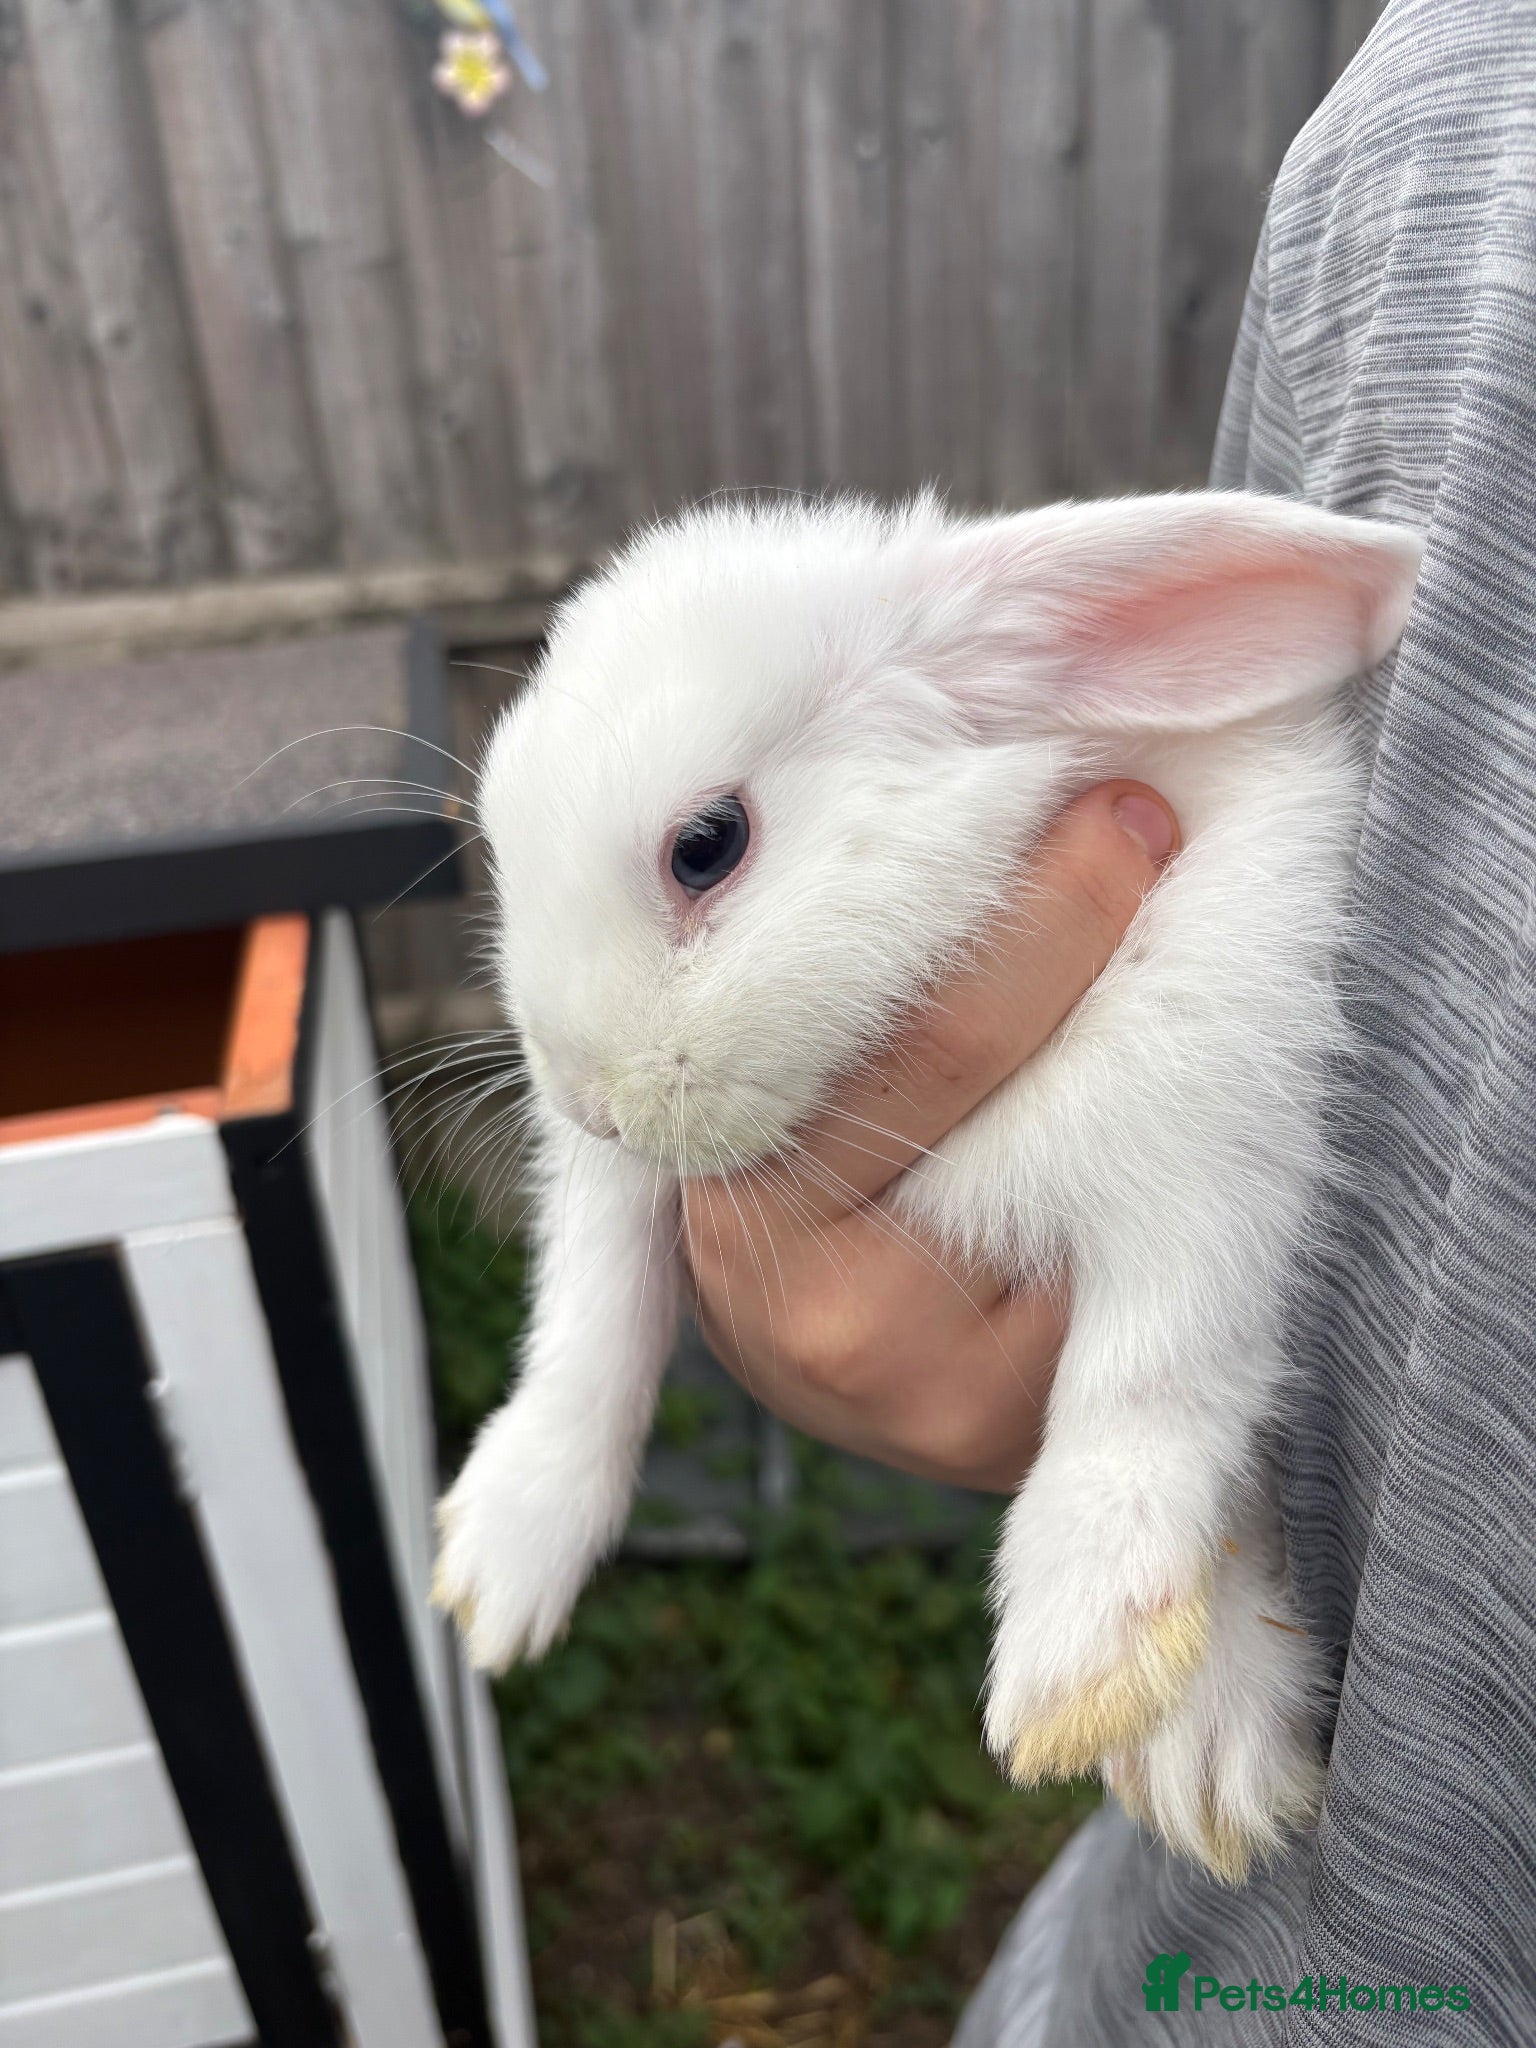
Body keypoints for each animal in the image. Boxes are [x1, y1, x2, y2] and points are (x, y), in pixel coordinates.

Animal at [433, 489, 1423, 1882]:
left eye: (707, 845)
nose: (586, 1098)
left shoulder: (1215, 1156)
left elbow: (1148, 1391)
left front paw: (1079, 1669)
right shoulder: (615, 1203)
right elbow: (590, 1331)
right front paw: (502, 1556)